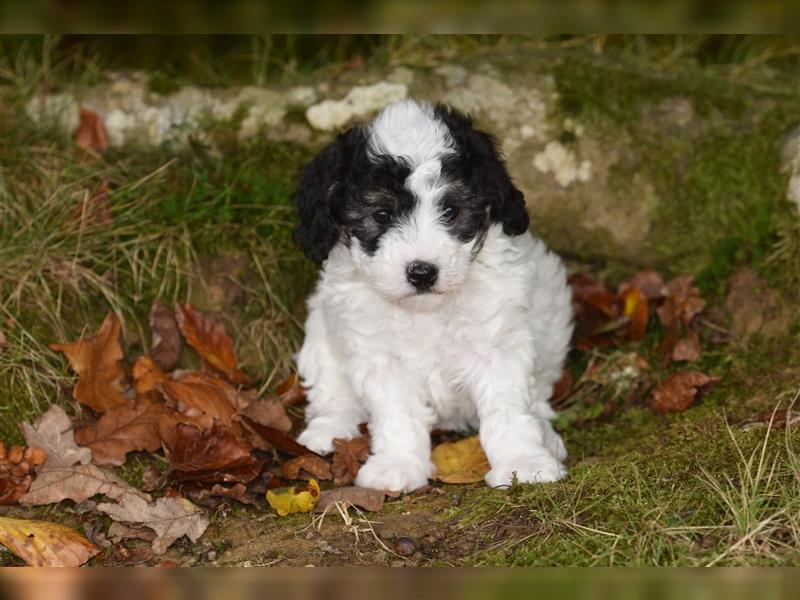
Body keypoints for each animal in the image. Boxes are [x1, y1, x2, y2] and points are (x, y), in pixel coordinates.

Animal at [290, 98, 572, 492]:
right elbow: (398, 414)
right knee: (332, 389)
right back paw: (328, 429)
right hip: (321, 328)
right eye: (382, 214)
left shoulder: (497, 346)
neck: (426, 311)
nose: (422, 272)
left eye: (451, 211)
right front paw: (398, 465)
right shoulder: (380, 357)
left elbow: (507, 409)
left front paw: (524, 463)